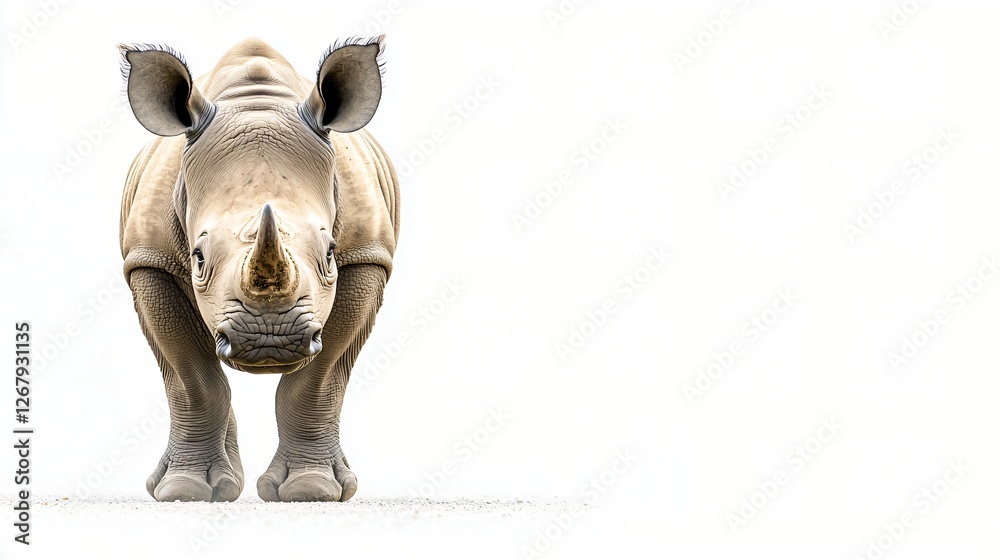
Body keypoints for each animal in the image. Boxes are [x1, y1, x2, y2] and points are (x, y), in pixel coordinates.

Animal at [118, 37, 399, 502]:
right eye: (197, 258)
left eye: (329, 253)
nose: (270, 339)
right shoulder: (148, 260)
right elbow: (192, 379)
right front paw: (183, 491)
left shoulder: (367, 253)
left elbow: (318, 380)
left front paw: (311, 490)